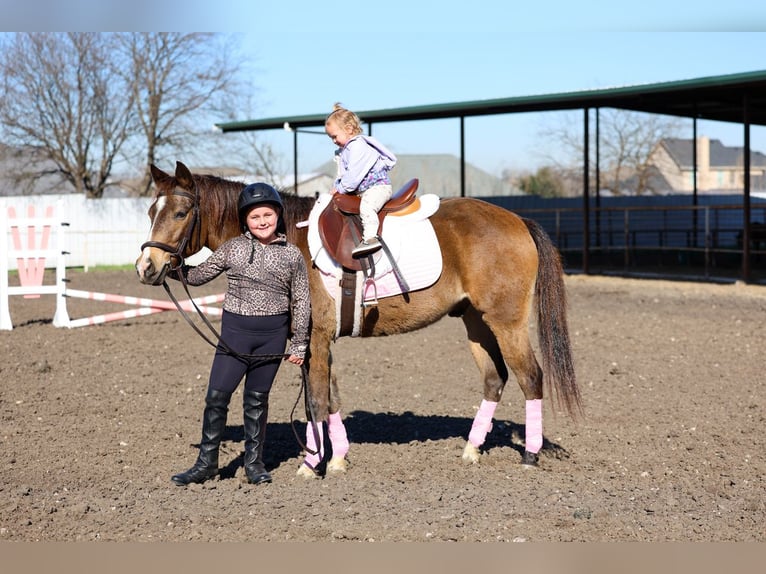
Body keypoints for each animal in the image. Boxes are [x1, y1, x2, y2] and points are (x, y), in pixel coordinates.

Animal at [135, 161, 582, 478]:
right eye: (150, 210)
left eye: (180, 212)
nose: (146, 267)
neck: (284, 239)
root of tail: (518, 220)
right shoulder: (313, 342)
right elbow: (330, 397)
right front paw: (337, 459)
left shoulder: (315, 338)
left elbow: (316, 399)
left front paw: (311, 465)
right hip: (474, 321)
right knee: (495, 378)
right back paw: (471, 449)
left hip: (506, 322)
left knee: (531, 377)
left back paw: (530, 456)